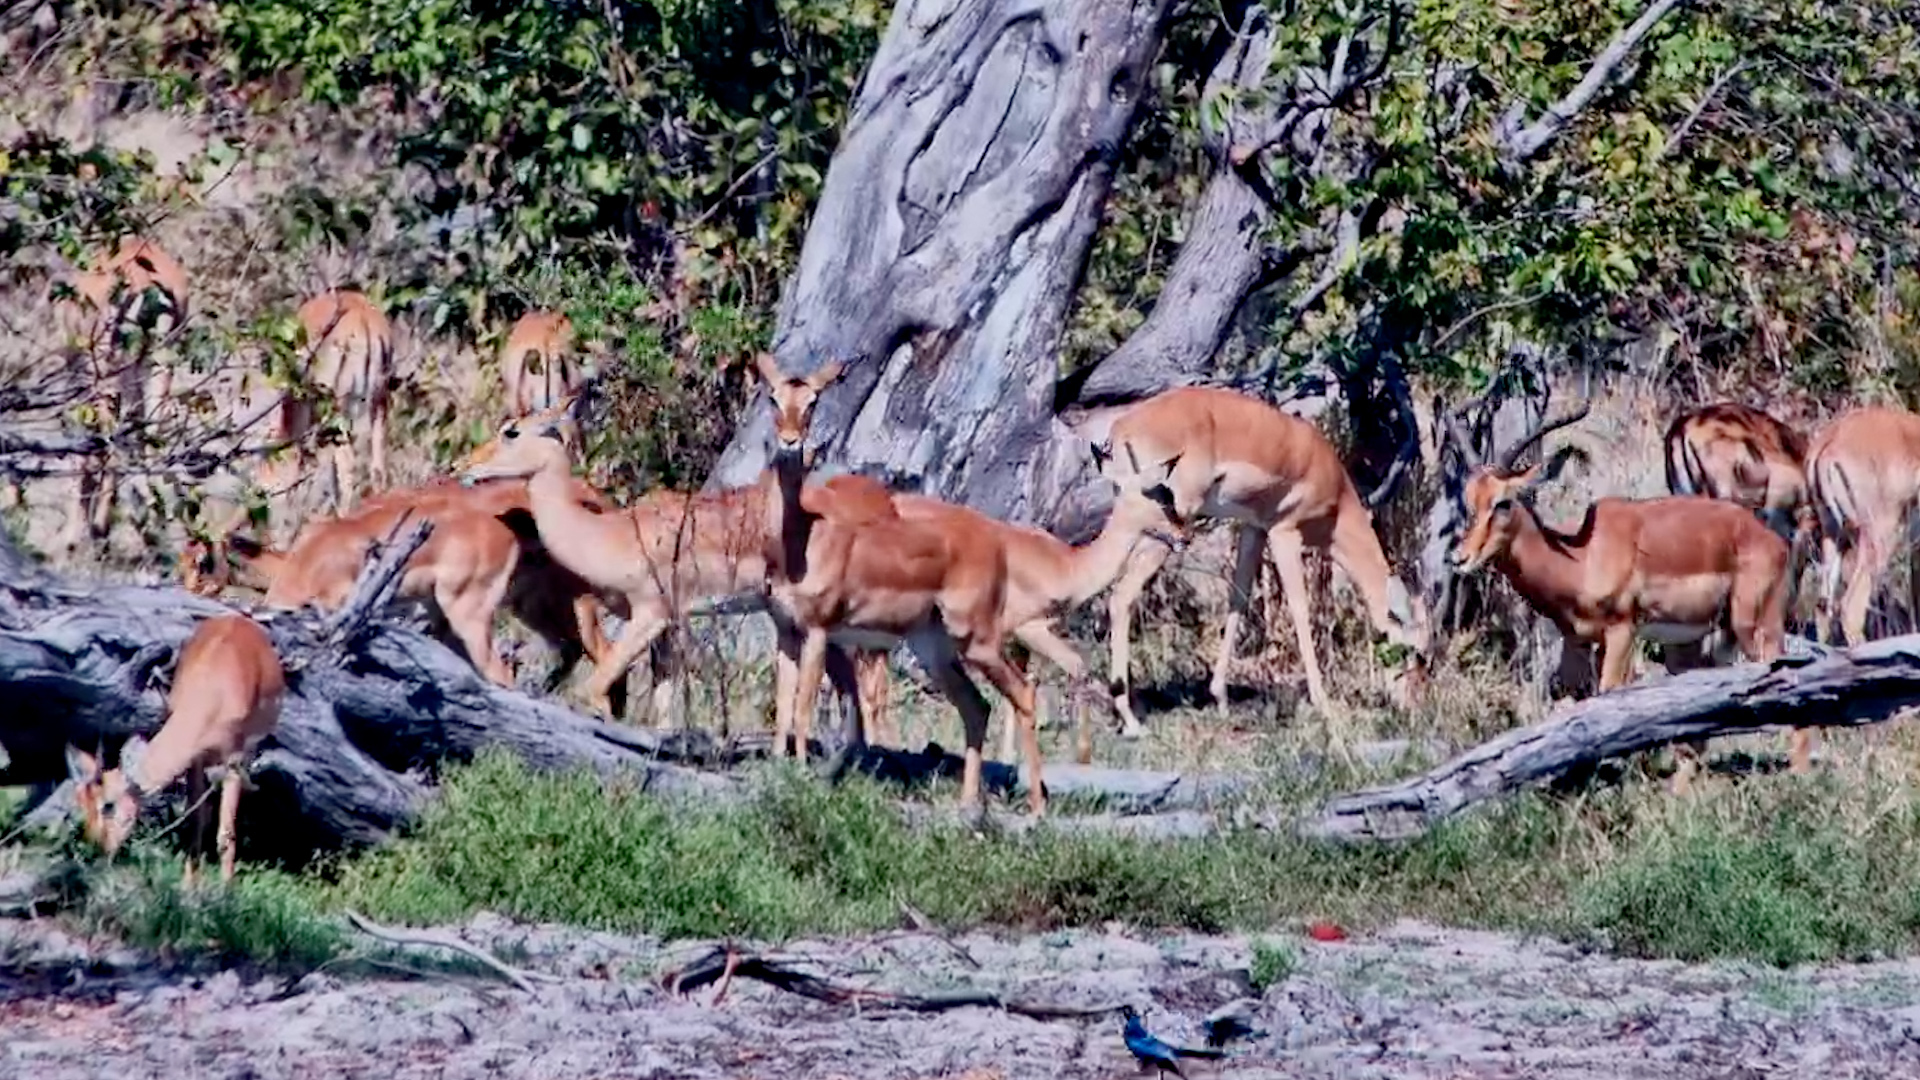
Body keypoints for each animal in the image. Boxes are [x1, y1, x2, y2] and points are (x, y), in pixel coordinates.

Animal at [66, 614, 285, 884]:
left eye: (108, 805)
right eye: (80, 804)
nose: (94, 852)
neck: (213, 694)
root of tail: (237, 618)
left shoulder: (232, 760)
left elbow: (226, 834)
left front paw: (225, 892)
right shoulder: (195, 761)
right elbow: (196, 822)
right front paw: (188, 888)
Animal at [1097, 386, 1430, 732]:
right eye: (1418, 653)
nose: (1415, 708)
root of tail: (1122, 428)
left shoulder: (1254, 529)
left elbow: (1239, 598)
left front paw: (1219, 697)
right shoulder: (1285, 533)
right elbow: (1300, 609)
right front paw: (1324, 704)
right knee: (1122, 595)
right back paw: (1129, 716)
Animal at [1445, 404, 1805, 789]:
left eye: (1503, 502)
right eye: (1469, 500)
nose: (1459, 558)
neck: (1581, 557)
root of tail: (1772, 540)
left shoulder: (1622, 631)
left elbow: (1608, 696)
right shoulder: (1577, 641)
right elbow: (1569, 703)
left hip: (1754, 625)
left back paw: (1801, 775)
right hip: (1706, 639)